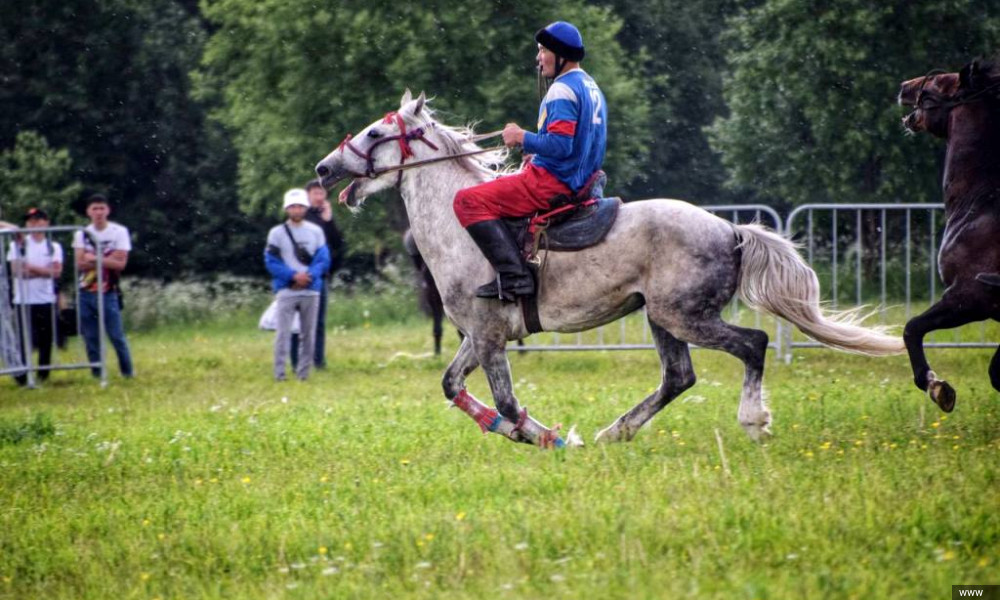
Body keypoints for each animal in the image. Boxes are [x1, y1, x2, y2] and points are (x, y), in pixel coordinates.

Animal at [314, 91, 908, 448]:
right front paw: (533, 433)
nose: (323, 169)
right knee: (679, 377)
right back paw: (614, 433)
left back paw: (752, 421)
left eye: (374, 134)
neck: (458, 228)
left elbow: (505, 399)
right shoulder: (478, 336)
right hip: (662, 319)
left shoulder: (487, 337)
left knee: (754, 344)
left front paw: (549, 438)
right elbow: (452, 386)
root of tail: (729, 229)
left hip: (685, 316)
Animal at [900, 58, 1000, 410]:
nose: (903, 86)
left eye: (938, 82)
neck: (980, 204)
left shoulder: (970, 297)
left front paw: (936, 386)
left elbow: (912, 328)